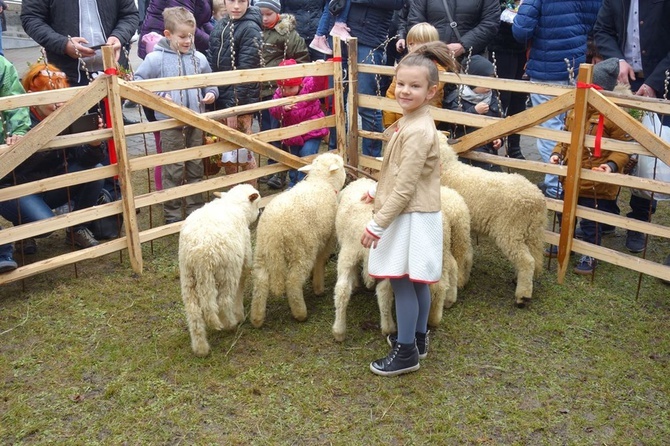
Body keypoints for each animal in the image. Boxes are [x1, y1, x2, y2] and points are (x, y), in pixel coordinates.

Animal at [178, 183, 262, 358]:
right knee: (223, 301)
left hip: (187, 275)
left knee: (193, 311)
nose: (259, 212)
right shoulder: (243, 262)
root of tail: (200, 254)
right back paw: (231, 324)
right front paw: (239, 313)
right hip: (227, 272)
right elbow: (240, 287)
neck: (233, 204)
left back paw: (201, 348)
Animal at [251, 152, 346, 328]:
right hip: (302, 249)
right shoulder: (327, 240)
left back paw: (257, 319)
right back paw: (301, 313)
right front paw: (318, 287)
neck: (321, 182)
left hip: (262, 249)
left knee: (260, 281)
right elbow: (320, 261)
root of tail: (275, 229)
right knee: (293, 282)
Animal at [438, 133, 548, 306]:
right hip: (533, 231)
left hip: (510, 231)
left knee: (527, 261)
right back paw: (520, 281)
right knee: (536, 258)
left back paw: (522, 297)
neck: (448, 170)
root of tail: (537, 199)